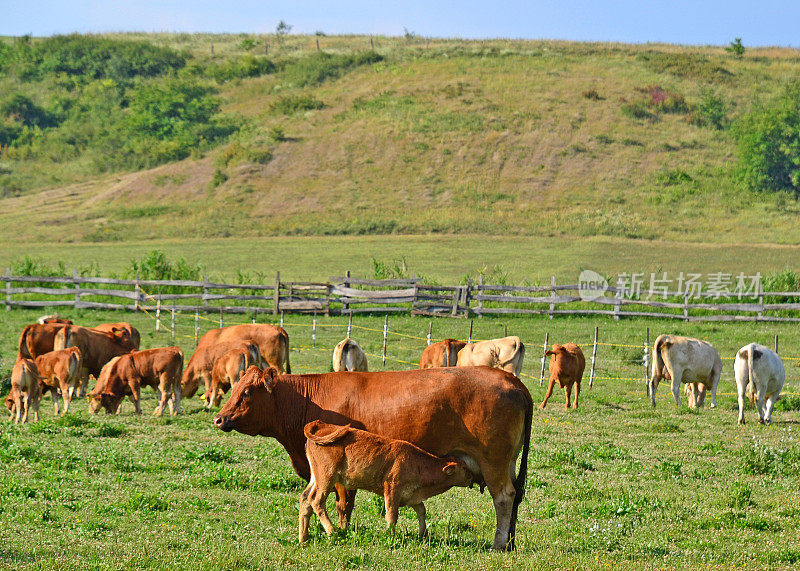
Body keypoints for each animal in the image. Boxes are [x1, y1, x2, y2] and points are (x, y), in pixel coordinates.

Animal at [302, 422, 476, 544]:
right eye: (464, 467)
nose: (472, 476)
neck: (416, 463)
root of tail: (323, 425)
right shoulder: (392, 489)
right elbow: (392, 515)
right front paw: (391, 536)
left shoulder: (412, 496)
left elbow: (422, 511)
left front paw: (423, 534)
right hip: (326, 477)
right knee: (316, 500)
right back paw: (332, 532)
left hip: (315, 478)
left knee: (305, 499)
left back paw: (303, 538)